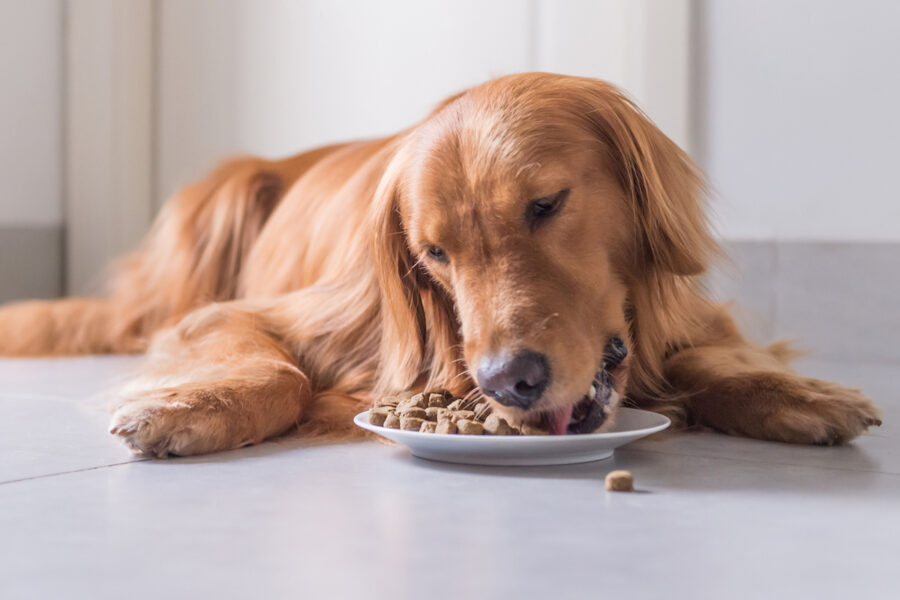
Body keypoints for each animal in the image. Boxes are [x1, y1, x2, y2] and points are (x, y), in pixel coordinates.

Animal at [0, 74, 884, 454]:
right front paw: (192, 406)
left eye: (546, 204)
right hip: (213, 209)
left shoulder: (695, 316)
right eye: (434, 255)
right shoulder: (241, 315)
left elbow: (719, 358)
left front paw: (797, 394)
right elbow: (277, 370)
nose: (510, 382)